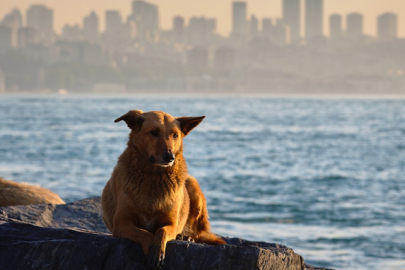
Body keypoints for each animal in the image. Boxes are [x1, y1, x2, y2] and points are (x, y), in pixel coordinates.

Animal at [101, 109, 224, 268]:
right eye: (154, 132)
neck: (153, 177)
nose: (169, 157)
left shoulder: (171, 223)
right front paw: (151, 250)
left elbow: (161, 231)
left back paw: (185, 237)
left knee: (198, 232)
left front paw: (158, 250)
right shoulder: (121, 223)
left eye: (175, 135)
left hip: (193, 185)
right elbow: (145, 233)